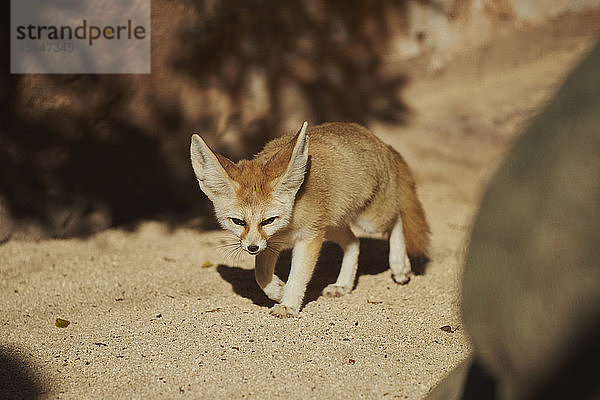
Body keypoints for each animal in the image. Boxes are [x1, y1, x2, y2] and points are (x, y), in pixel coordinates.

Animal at [190, 122, 428, 318]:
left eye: (268, 220)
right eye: (238, 222)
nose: (251, 248)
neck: (288, 222)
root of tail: (381, 142)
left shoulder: (308, 238)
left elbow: (298, 275)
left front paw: (288, 304)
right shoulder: (271, 243)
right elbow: (262, 275)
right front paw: (279, 290)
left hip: (369, 221)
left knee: (396, 218)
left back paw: (399, 265)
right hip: (331, 227)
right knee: (354, 243)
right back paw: (343, 284)